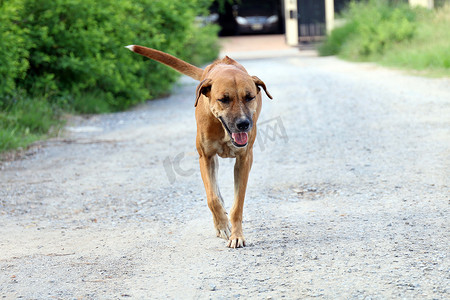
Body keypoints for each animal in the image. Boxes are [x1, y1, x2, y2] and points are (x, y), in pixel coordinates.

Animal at [125, 45, 270, 248]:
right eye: (224, 99)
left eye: (249, 97)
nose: (243, 124)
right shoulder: (205, 158)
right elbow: (212, 199)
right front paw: (222, 225)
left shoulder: (244, 159)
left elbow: (238, 204)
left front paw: (236, 234)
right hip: (212, 160)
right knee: (215, 191)